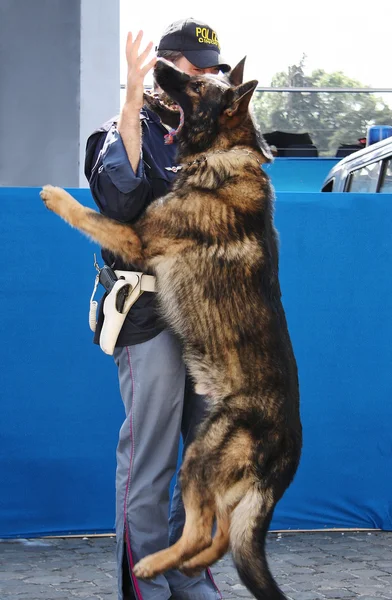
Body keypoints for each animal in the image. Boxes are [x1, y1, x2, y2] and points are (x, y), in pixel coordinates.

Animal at [40, 57, 304, 600]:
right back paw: (183, 566)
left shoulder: (135, 239)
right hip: (214, 471)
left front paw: (55, 195)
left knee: (203, 530)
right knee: (220, 536)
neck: (224, 154)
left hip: (199, 457)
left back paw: (150, 565)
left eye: (198, 86)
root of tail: (287, 447)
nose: (156, 65)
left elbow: (92, 214)